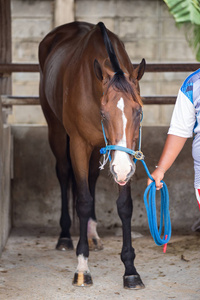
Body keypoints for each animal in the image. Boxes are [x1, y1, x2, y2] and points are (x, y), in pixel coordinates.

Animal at [38, 22, 145, 290]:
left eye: (138, 112)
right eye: (103, 113)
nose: (122, 170)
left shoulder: (122, 155)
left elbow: (124, 206)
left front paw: (130, 270)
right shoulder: (78, 144)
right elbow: (83, 201)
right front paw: (82, 268)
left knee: (93, 180)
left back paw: (92, 234)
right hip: (56, 131)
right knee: (64, 173)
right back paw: (65, 236)